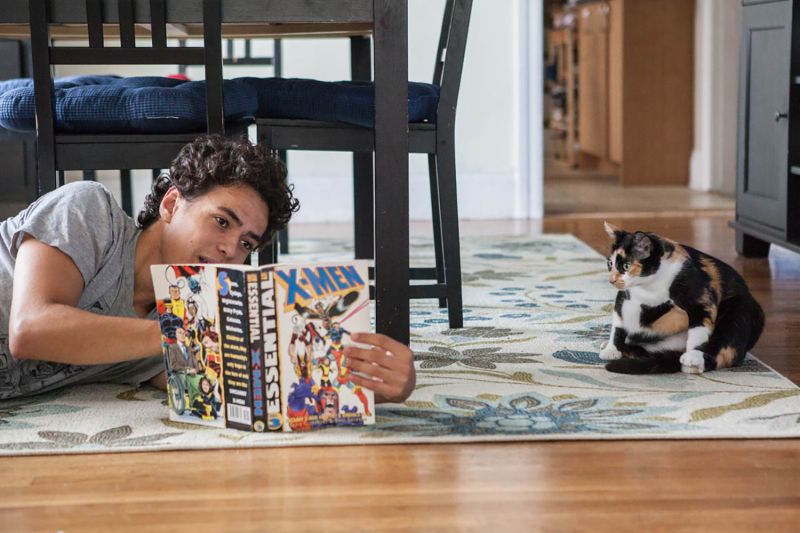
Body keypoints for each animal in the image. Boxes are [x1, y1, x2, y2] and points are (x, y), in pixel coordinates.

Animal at [596, 220, 764, 374]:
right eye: (610, 263)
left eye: (626, 266)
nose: (611, 280)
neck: (649, 286)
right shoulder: (624, 297)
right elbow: (619, 322)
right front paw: (612, 349)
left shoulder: (701, 297)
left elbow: (699, 329)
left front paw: (693, 355)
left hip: (740, 310)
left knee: (725, 349)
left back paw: (694, 363)